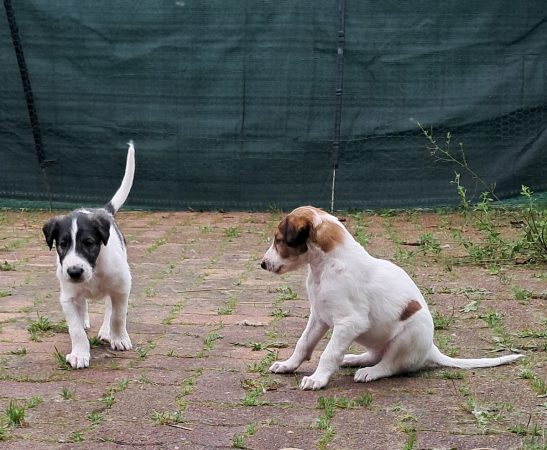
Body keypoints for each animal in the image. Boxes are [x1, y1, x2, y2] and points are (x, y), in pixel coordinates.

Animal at [43, 142, 136, 370]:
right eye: (63, 244)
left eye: (89, 243)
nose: (75, 271)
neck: (94, 270)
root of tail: (103, 211)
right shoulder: (68, 297)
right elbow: (75, 329)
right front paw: (79, 354)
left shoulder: (122, 287)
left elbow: (118, 316)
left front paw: (118, 338)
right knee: (83, 304)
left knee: (109, 308)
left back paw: (106, 332)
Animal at [264, 206, 524, 388]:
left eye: (279, 240)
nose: (263, 264)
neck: (327, 265)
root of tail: (431, 349)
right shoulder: (319, 316)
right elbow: (303, 344)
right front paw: (287, 365)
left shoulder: (349, 322)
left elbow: (329, 353)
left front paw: (317, 378)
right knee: (374, 355)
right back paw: (353, 359)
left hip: (406, 336)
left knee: (390, 365)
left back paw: (369, 372)